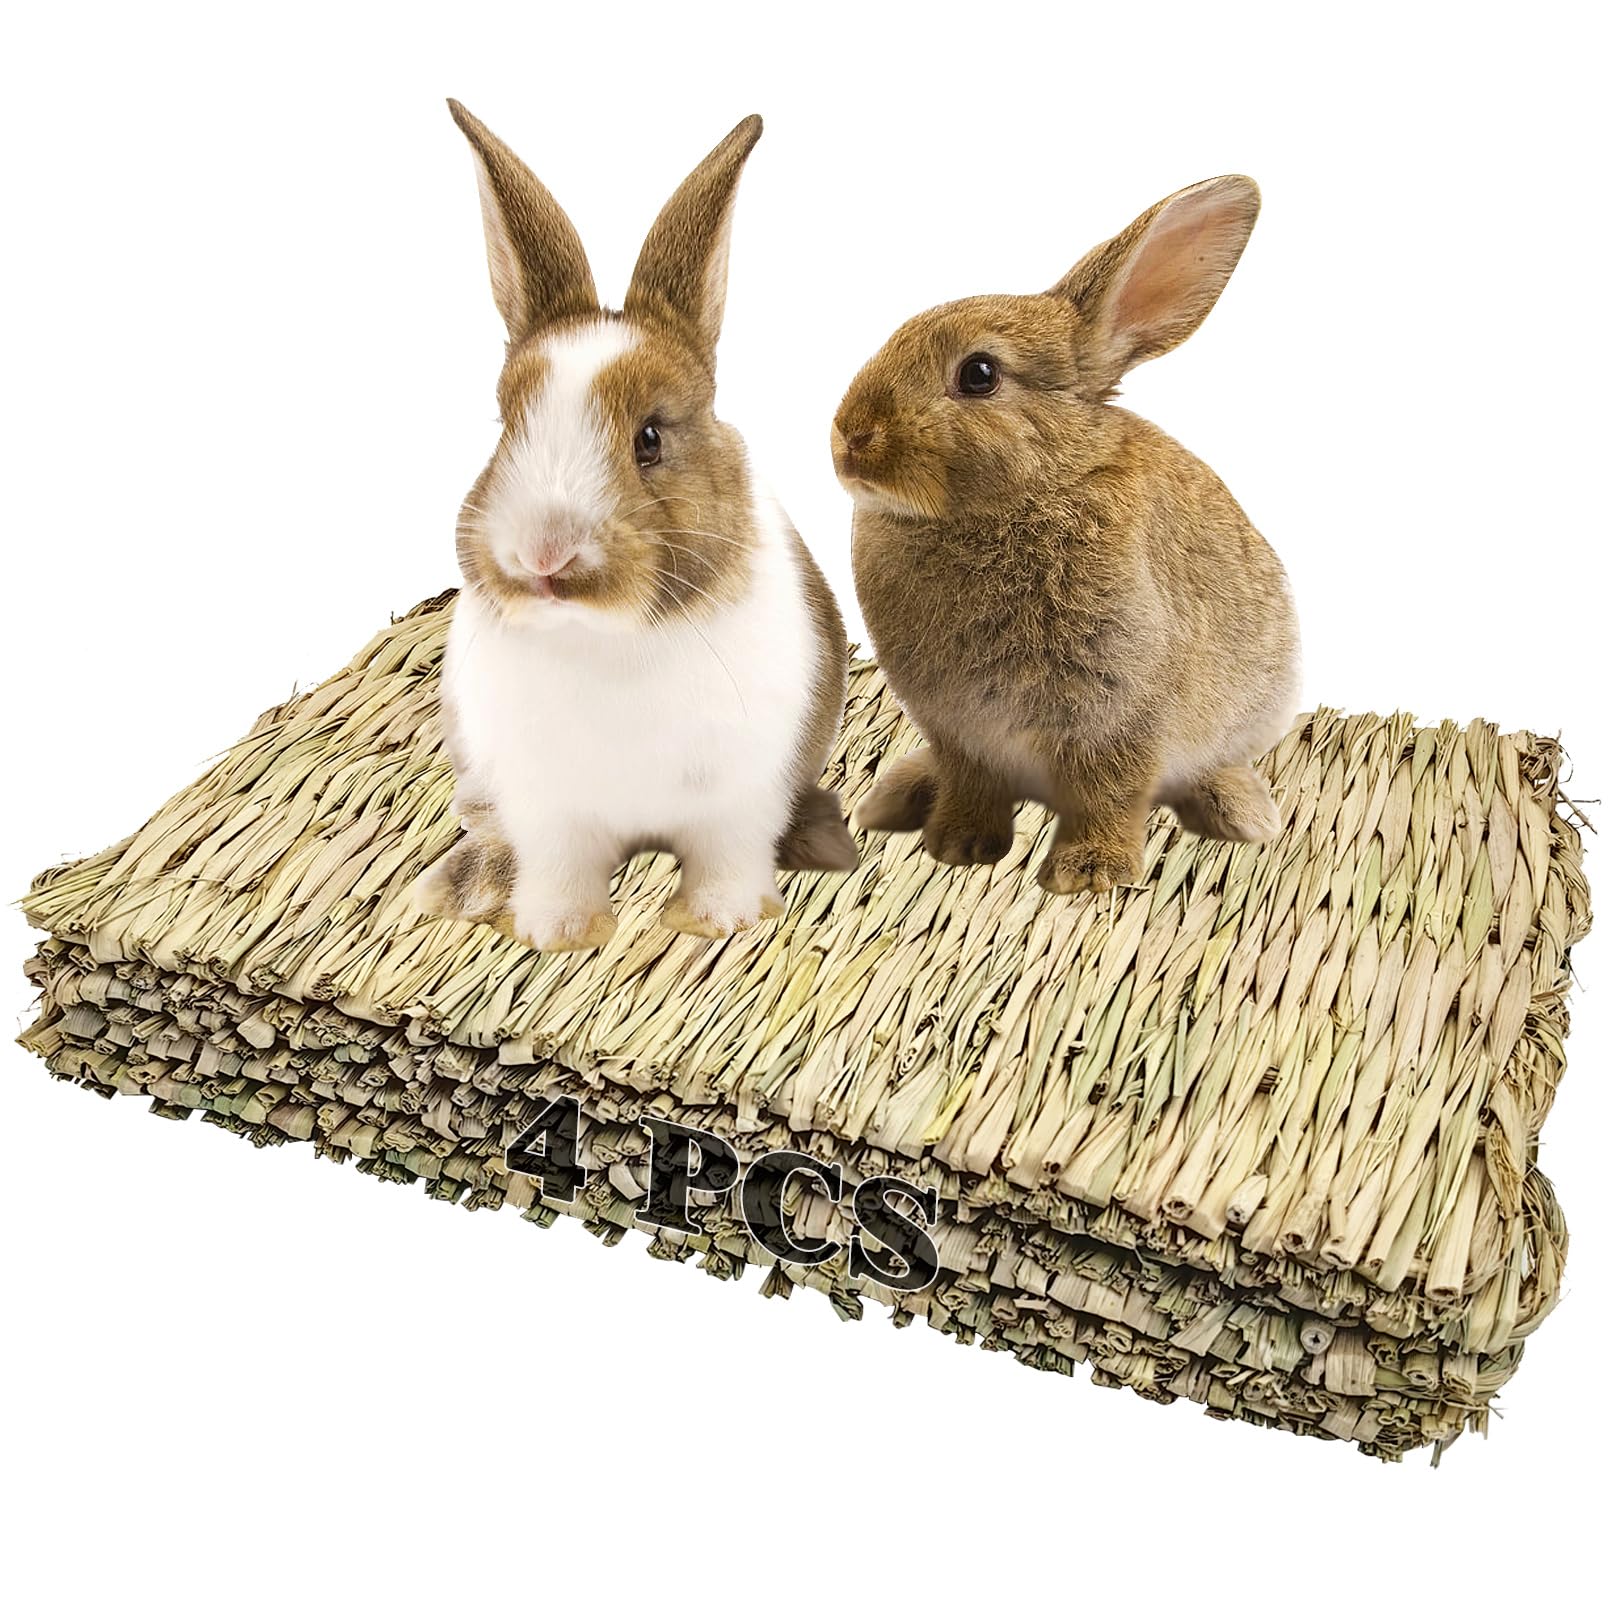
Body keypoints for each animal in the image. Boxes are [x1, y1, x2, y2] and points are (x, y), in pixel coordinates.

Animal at [413, 102, 856, 952]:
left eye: (650, 437)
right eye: (506, 425)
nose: (544, 555)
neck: (605, 640)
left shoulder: (738, 796)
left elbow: (727, 858)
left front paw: (717, 920)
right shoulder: (548, 808)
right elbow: (560, 868)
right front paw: (557, 931)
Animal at [832, 174, 1300, 896]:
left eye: (980, 374)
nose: (850, 438)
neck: (1026, 493)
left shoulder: (1117, 711)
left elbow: (1109, 792)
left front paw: (1089, 873)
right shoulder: (960, 731)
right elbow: (972, 786)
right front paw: (958, 845)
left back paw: (1243, 814)